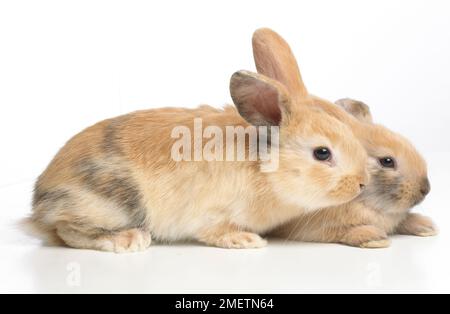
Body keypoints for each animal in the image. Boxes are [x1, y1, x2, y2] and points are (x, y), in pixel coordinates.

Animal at [22, 32, 370, 253]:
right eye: (322, 153)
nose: (362, 184)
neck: (265, 168)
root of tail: (40, 202)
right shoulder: (211, 214)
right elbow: (216, 232)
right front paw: (245, 241)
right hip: (113, 202)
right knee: (67, 230)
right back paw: (128, 240)